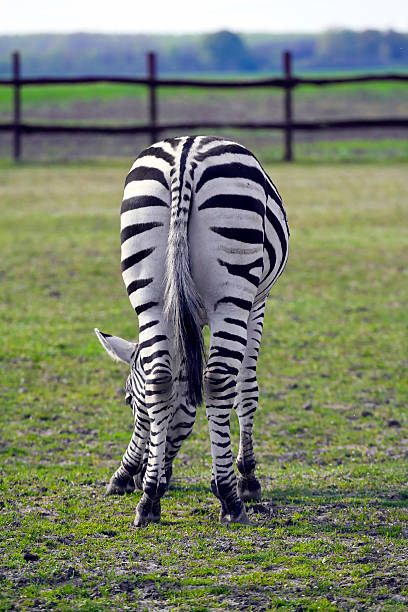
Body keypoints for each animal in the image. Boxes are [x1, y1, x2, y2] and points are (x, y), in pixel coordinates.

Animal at [94, 134, 288, 524]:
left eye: (129, 400)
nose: (131, 478)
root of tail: (185, 154)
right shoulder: (257, 303)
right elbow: (246, 389)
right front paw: (244, 478)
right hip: (231, 293)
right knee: (218, 380)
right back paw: (231, 500)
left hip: (150, 293)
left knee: (160, 380)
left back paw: (149, 502)